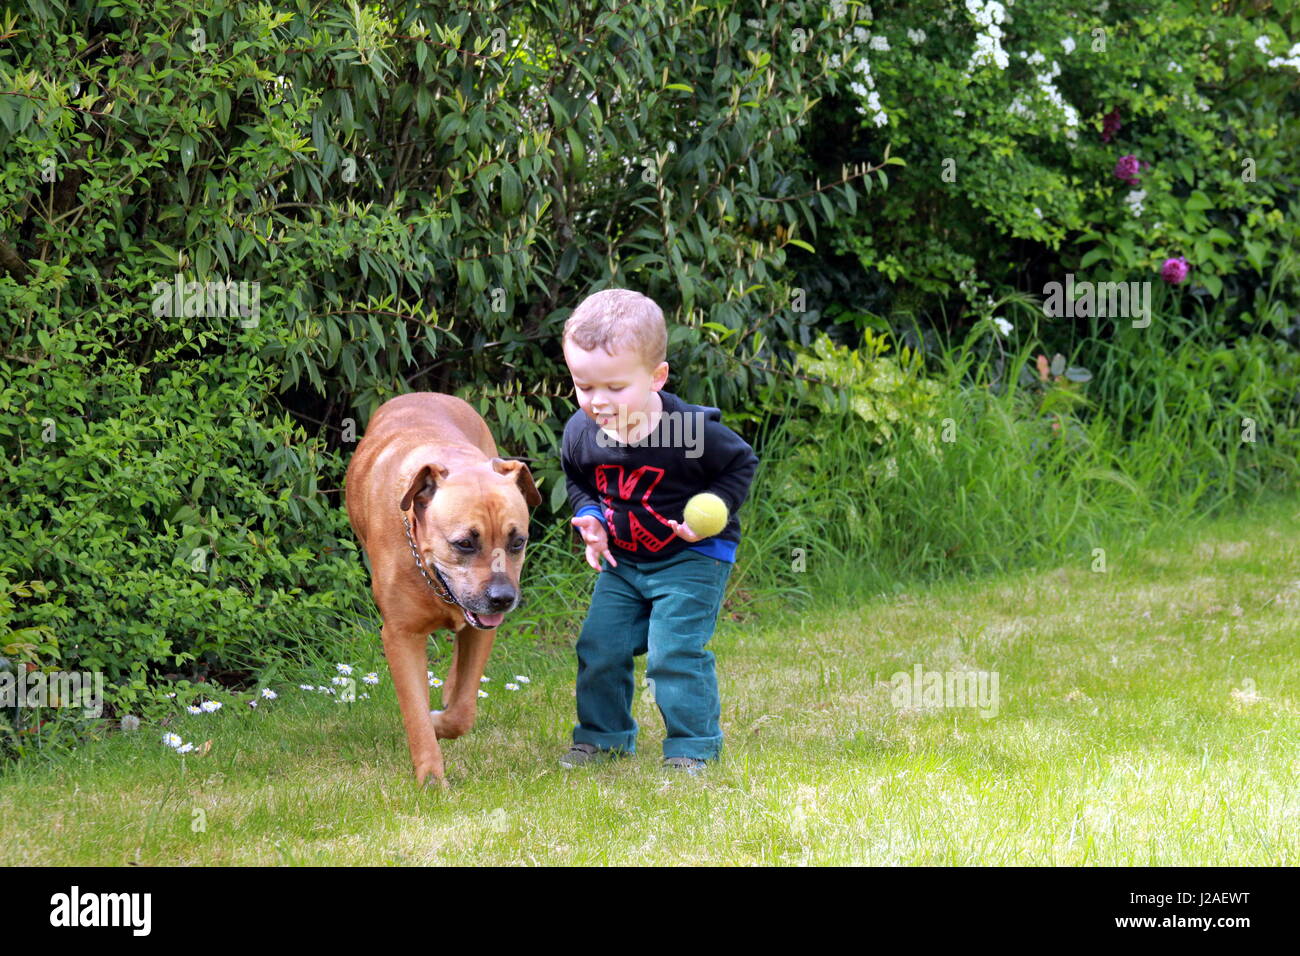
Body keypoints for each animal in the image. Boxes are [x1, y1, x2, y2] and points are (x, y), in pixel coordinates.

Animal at [343, 392, 540, 790]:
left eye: (518, 542)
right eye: (464, 543)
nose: (503, 598)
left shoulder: (482, 630)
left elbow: (463, 710)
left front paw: (441, 718)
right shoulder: (401, 636)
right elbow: (415, 713)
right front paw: (432, 778)